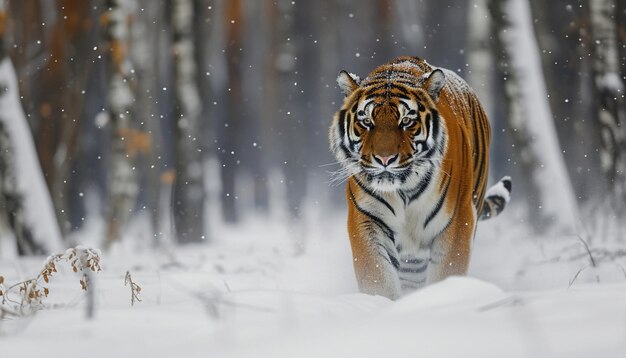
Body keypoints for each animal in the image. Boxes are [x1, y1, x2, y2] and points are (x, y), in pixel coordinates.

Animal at [326, 56, 508, 300]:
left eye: (406, 121)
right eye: (366, 122)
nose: (384, 159)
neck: (404, 191)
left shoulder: (458, 220)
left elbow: (448, 271)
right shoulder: (366, 218)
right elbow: (376, 275)